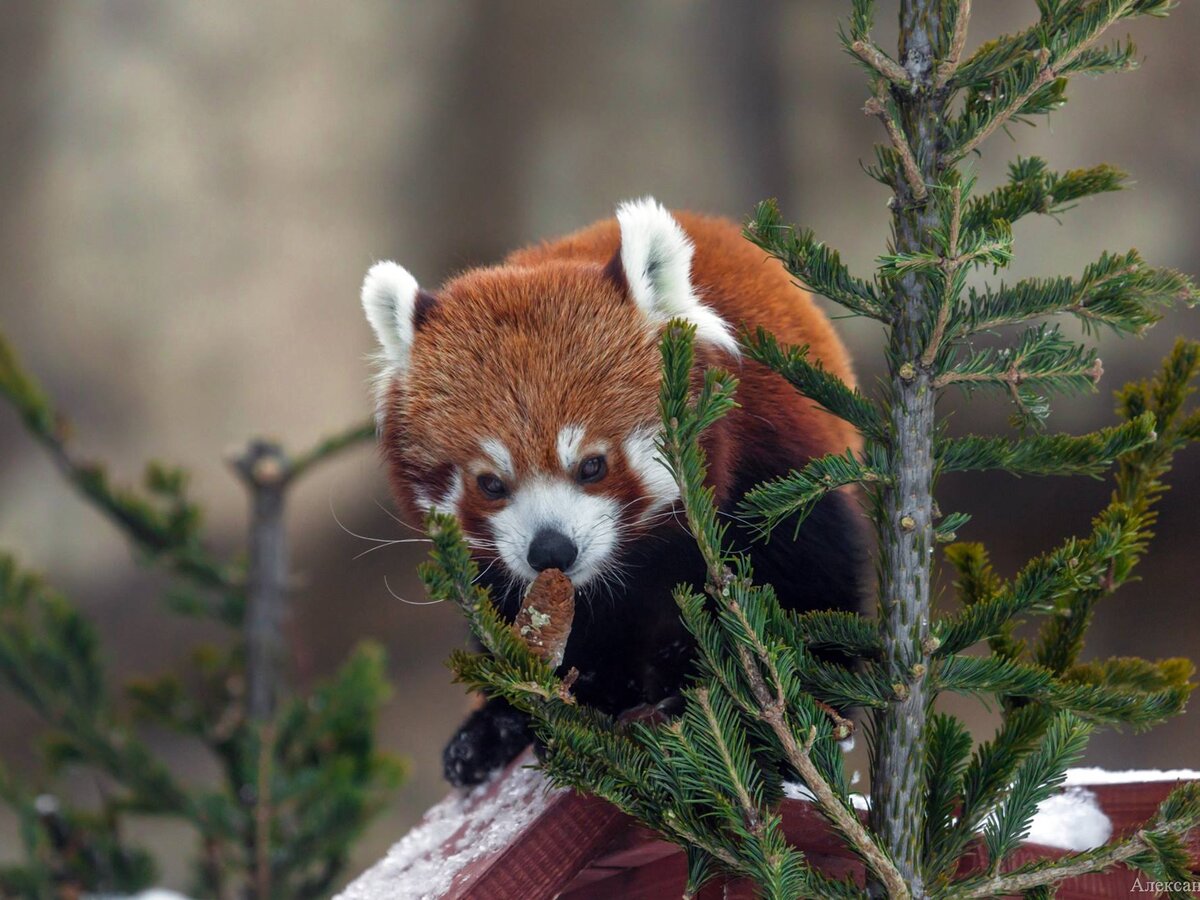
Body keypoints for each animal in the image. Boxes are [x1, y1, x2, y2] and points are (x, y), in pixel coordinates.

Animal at [360, 199, 868, 787]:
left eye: (592, 465)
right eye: (490, 482)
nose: (551, 551)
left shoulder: (774, 480)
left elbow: (807, 597)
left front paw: (771, 723)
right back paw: (489, 732)